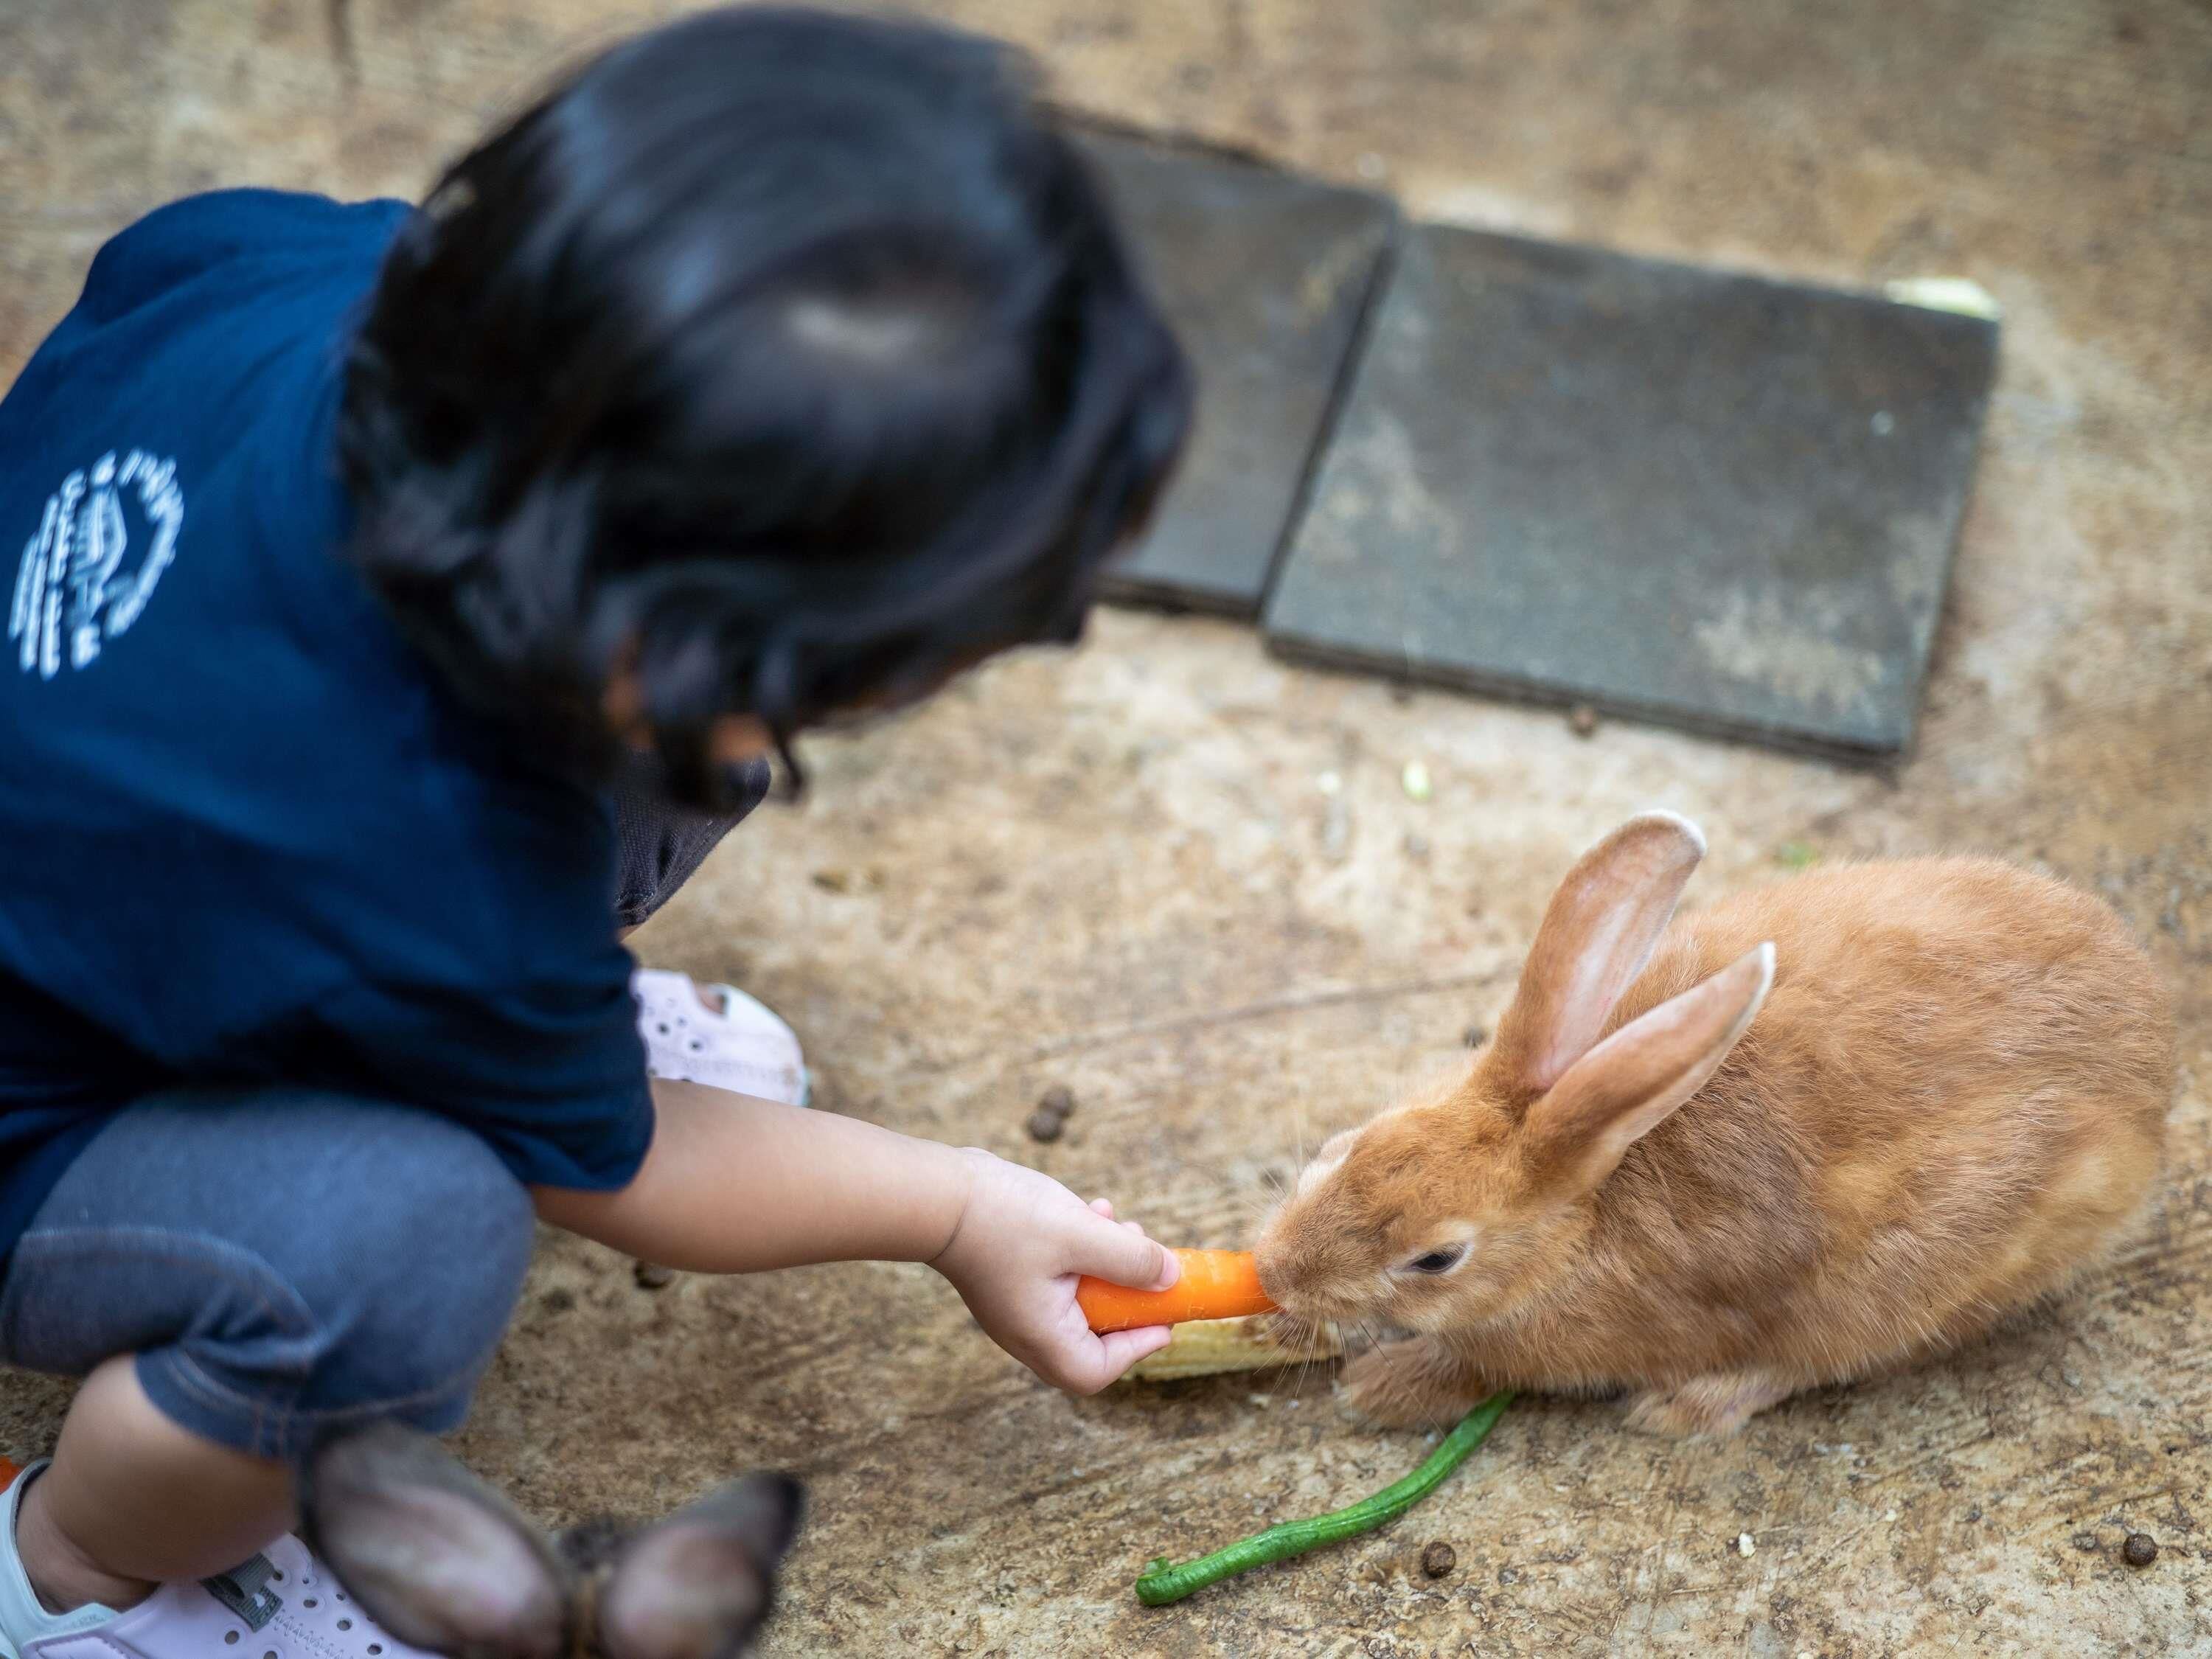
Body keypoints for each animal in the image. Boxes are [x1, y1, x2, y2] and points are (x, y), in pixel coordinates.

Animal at [1255, 811, 2174, 1437]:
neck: (1585, 1212)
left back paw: (1687, 1407)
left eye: (1437, 1259)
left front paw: (1377, 1388)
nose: (1272, 1272)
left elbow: (1476, 1367)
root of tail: (2154, 1061)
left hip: (1917, 1282)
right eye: (1346, 1148)